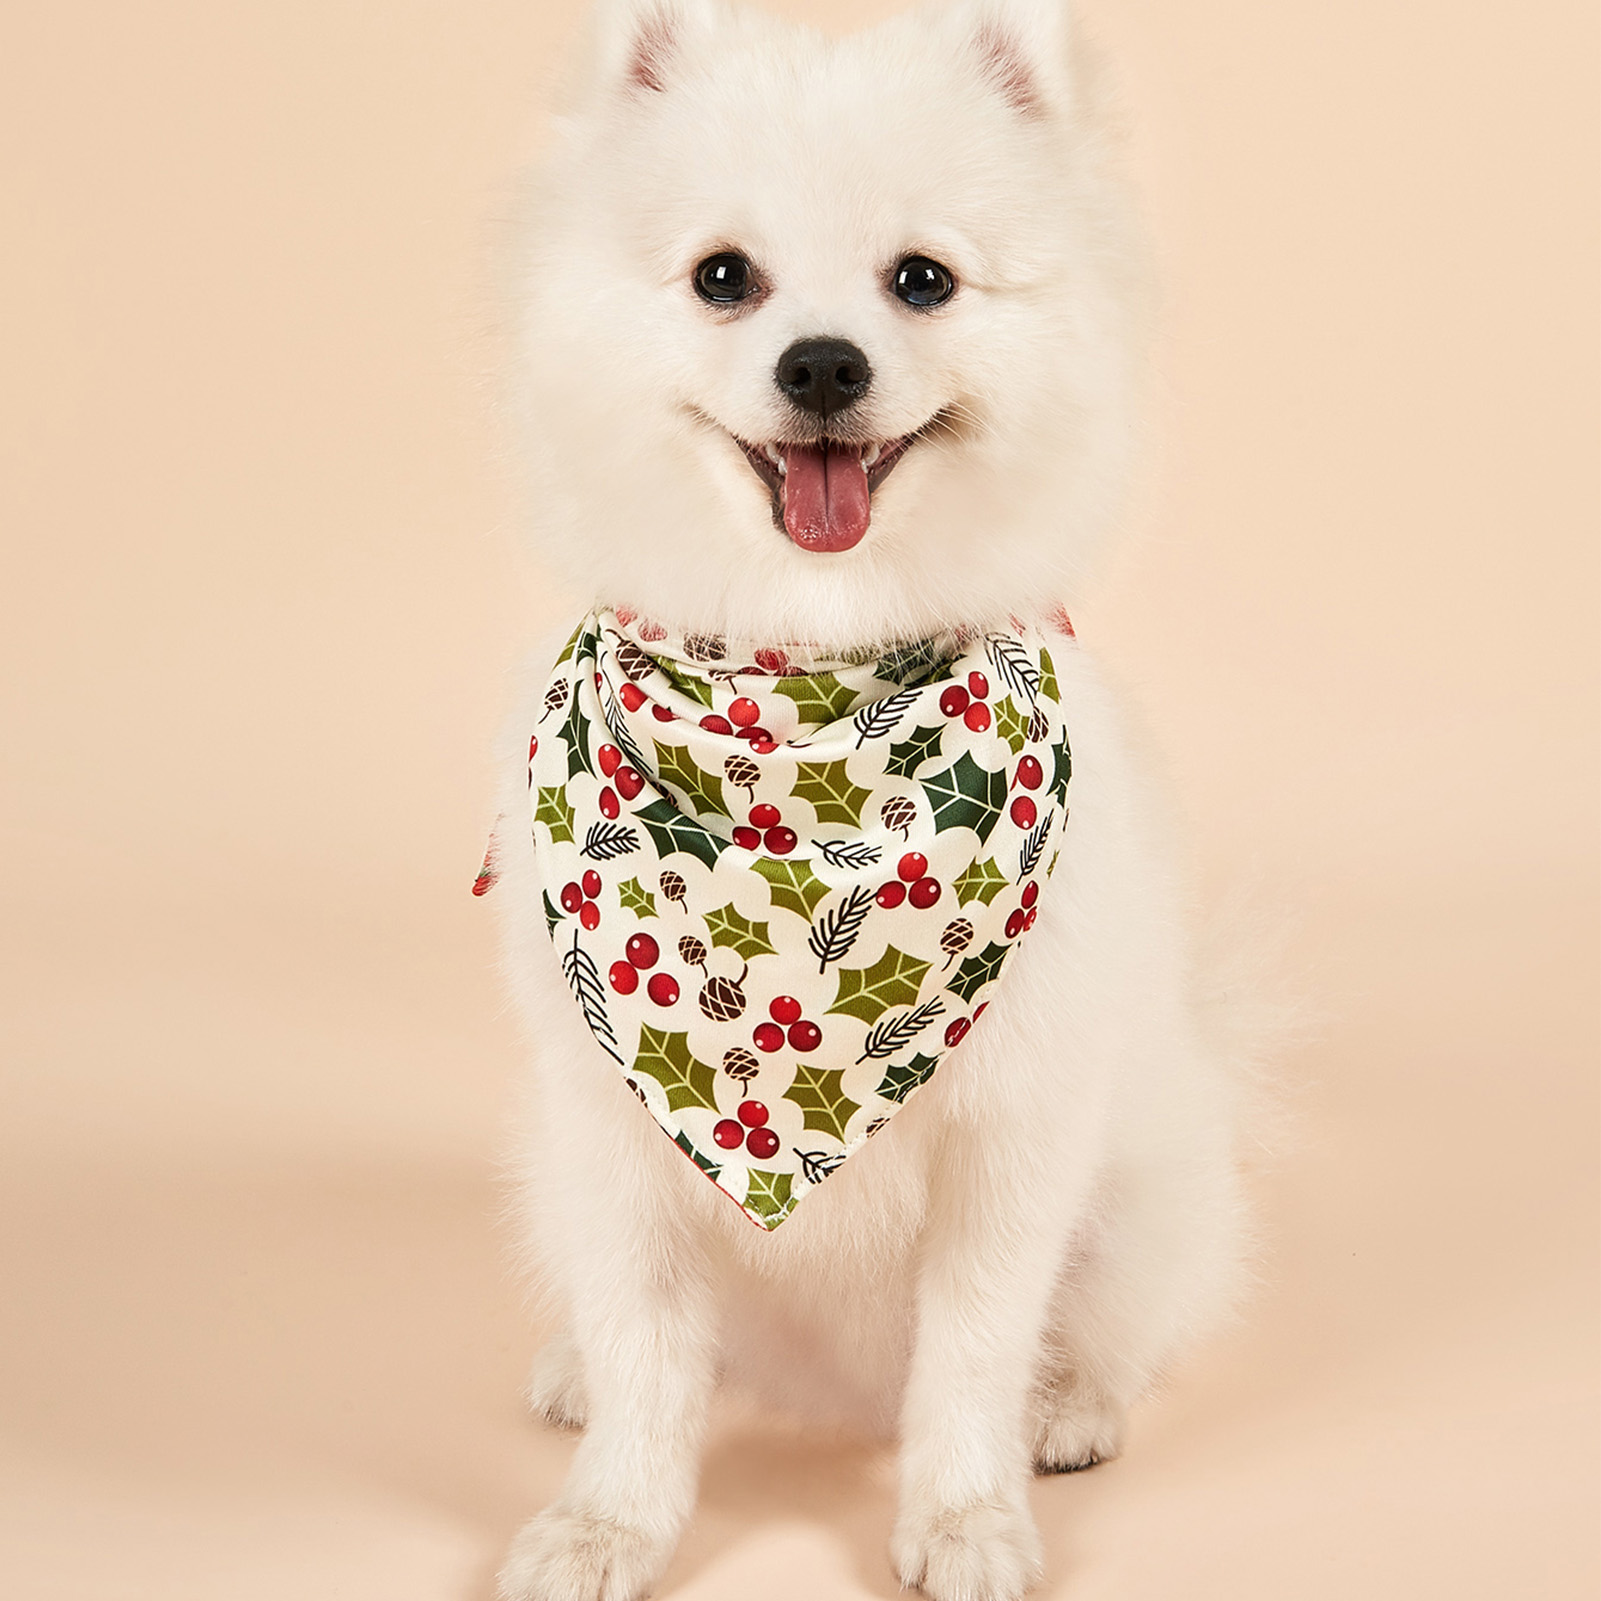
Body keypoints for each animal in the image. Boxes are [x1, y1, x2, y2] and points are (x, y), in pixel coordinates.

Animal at [486, 3, 1248, 1601]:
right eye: (724, 277)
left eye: (923, 280)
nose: (825, 365)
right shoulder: (611, 1129)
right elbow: (646, 1346)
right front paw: (608, 1515)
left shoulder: (1012, 1130)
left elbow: (971, 1349)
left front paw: (963, 1514)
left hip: (1147, 1184)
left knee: (1112, 1326)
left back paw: (1069, 1408)